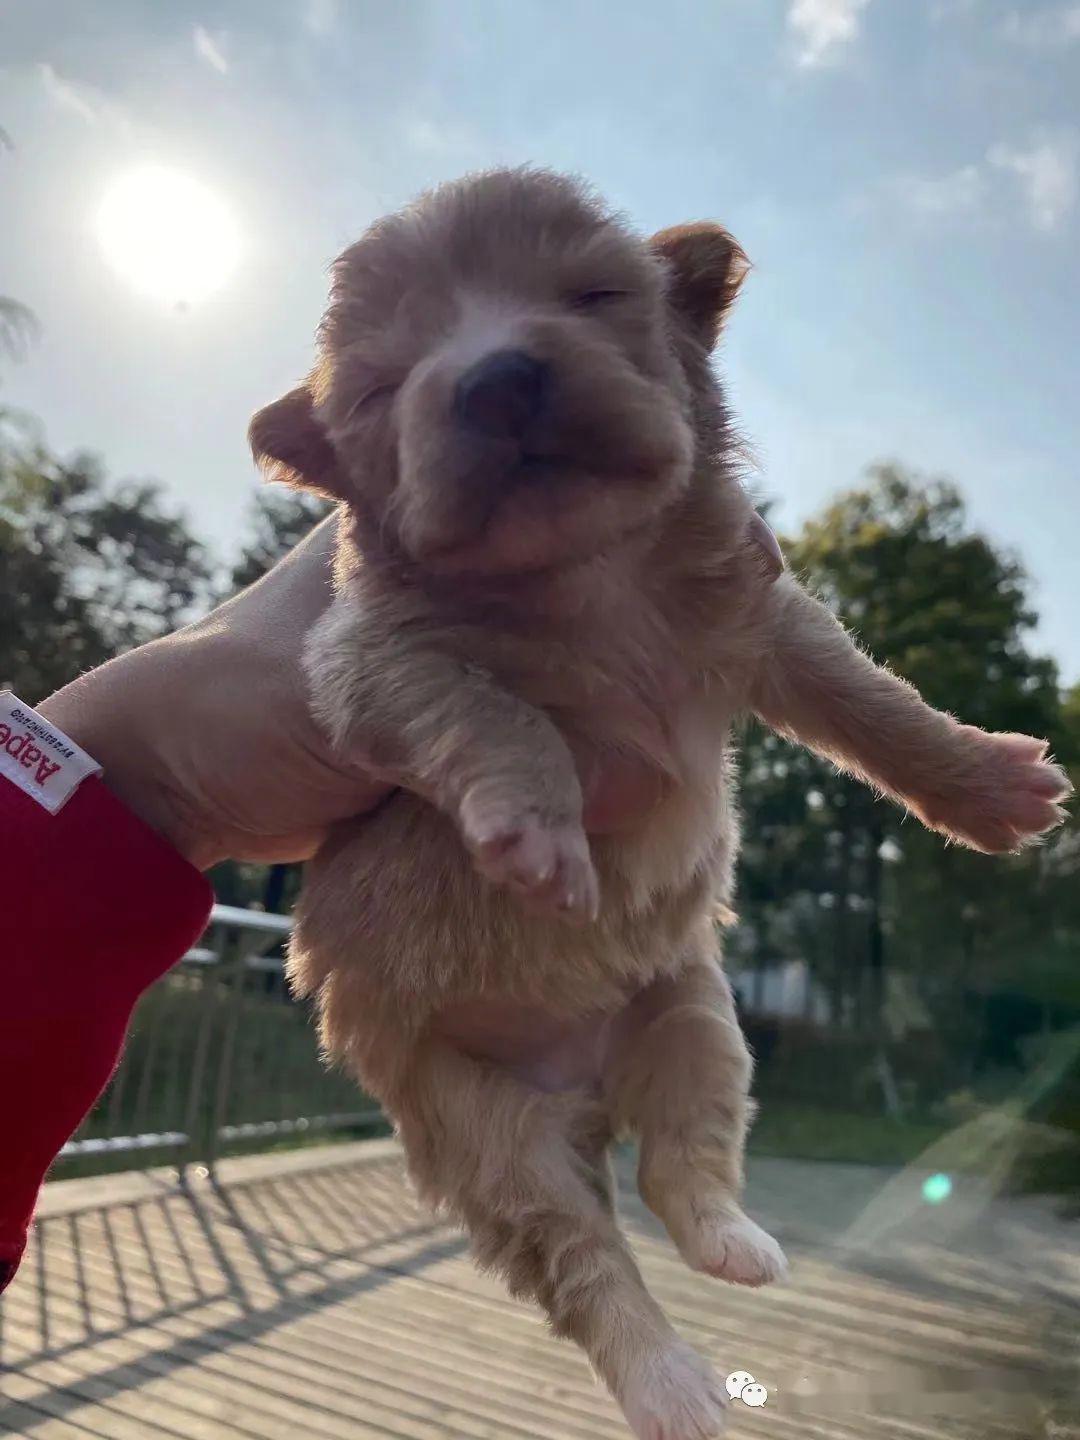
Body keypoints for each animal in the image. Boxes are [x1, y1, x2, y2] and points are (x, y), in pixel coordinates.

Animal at [249, 167, 1070, 1439]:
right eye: (384, 386)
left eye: (593, 296)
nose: (494, 377)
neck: (589, 580)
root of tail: (586, 1096)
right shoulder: (366, 665)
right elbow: (500, 715)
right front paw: (537, 836)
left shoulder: (763, 619)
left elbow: (873, 702)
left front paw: (988, 783)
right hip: (489, 1137)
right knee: (591, 1265)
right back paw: (674, 1386)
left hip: (697, 1019)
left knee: (678, 1167)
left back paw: (737, 1245)